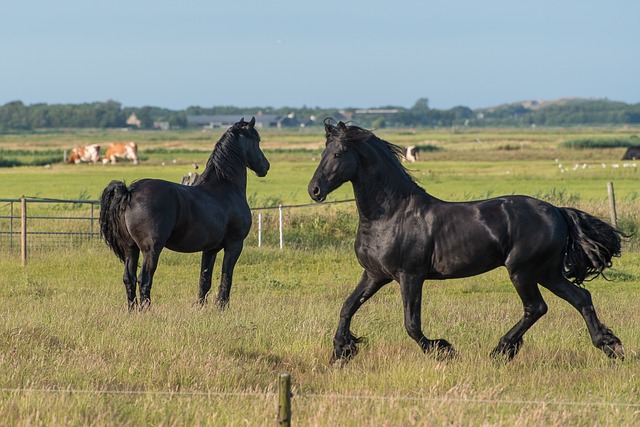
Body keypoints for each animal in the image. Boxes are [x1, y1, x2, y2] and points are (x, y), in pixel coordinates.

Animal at [100, 117, 270, 310]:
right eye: (257, 140)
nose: (266, 166)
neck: (226, 186)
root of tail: (130, 191)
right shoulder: (234, 245)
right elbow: (227, 276)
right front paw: (222, 306)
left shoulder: (210, 249)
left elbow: (205, 279)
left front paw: (200, 307)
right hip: (151, 249)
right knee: (144, 278)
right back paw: (146, 310)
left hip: (131, 248)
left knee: (129, 278)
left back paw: (133, 310)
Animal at [308, 119, 624, 364]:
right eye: (324, 152)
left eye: (338, 153)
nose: (315, 190)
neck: (391, 214)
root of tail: (557, 211)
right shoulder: (374, 275)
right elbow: (348, 307)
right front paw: (341, 351)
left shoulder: (410, 276)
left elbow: (412, 324)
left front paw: (444, 351)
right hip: (546, 272)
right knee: (580, 298)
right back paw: (610, 345)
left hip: (523, 271)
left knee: (536, 307)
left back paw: (501, 350)